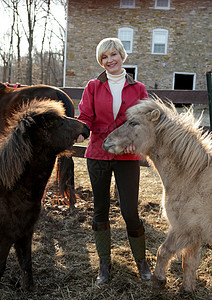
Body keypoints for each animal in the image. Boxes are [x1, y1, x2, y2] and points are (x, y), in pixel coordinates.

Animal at [0, 99, 90, 290]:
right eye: (57, 122)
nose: (86, 127)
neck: (10, 192)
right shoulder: (4, 240)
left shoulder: (25, 234)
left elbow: (26, 264)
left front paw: (28, 289)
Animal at [102, 97, 211, 292]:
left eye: (133, 122)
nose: (106, 141)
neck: (193, 175)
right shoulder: (194, 235)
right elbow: (189, 262)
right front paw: (187, 289)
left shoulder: (182, 230)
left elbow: (163, 251)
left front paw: (158, 280)